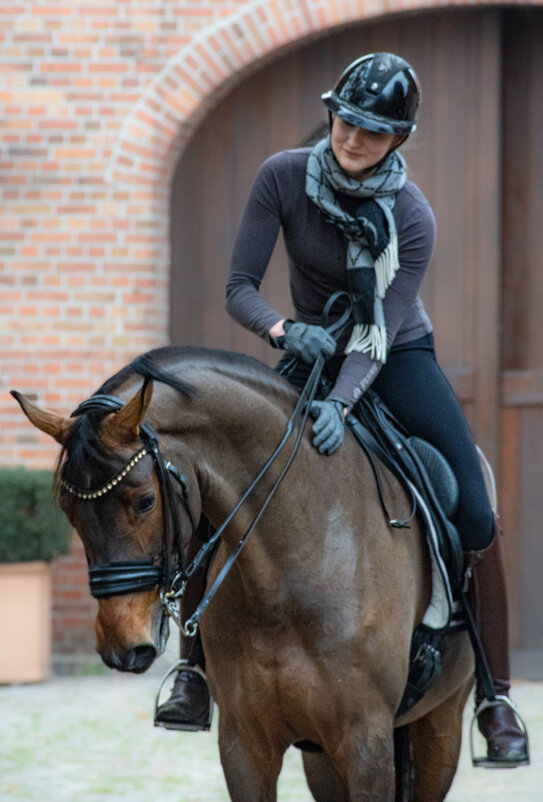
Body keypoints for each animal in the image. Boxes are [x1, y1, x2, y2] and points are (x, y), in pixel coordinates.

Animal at [10, 346, 474, 800]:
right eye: (68, 509)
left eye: (144, 501)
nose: (123, 646)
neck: (289, 574)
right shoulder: (245, 744)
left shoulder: (366, 745)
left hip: (441, 723)